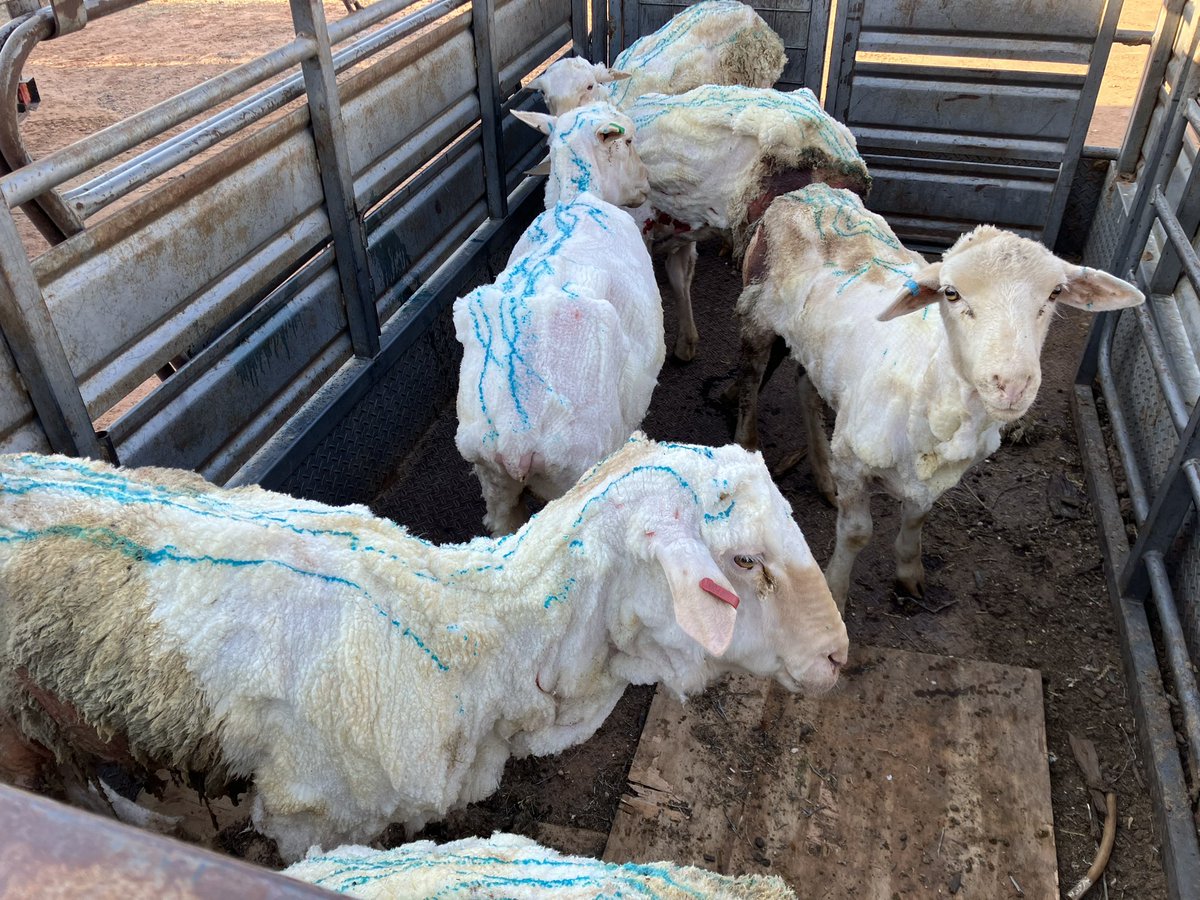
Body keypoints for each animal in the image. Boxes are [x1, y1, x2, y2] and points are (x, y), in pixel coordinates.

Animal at [456, 102, 667, 535]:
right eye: (629, 141)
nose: (646, 185)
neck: (579, 197)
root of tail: (516, 439)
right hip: (577, 473)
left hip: (493, 481)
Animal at [729, 183, 1142, 609]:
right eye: (951, 293)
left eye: (1056, 292)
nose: (1012, 383)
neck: (928, 385)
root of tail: (810, 191)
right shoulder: (855, 463)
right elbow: (857, 533)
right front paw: (836, 593)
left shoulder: (931, 476)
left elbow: (917, 517)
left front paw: (909, 573)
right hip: (757, 311)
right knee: (750, 380)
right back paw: (747, 445)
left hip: (821, 352)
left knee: (807, 387)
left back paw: (823, 473)